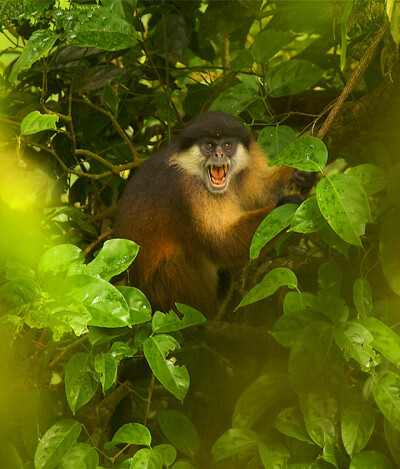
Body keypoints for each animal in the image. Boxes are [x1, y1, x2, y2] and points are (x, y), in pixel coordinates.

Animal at [114, 110, 314, 314]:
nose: (219, 154)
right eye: (209, 146)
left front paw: (303, 176)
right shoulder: (188, 189)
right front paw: (285, 205)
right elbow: (222, 243)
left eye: (227, 145)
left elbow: (264, 191)